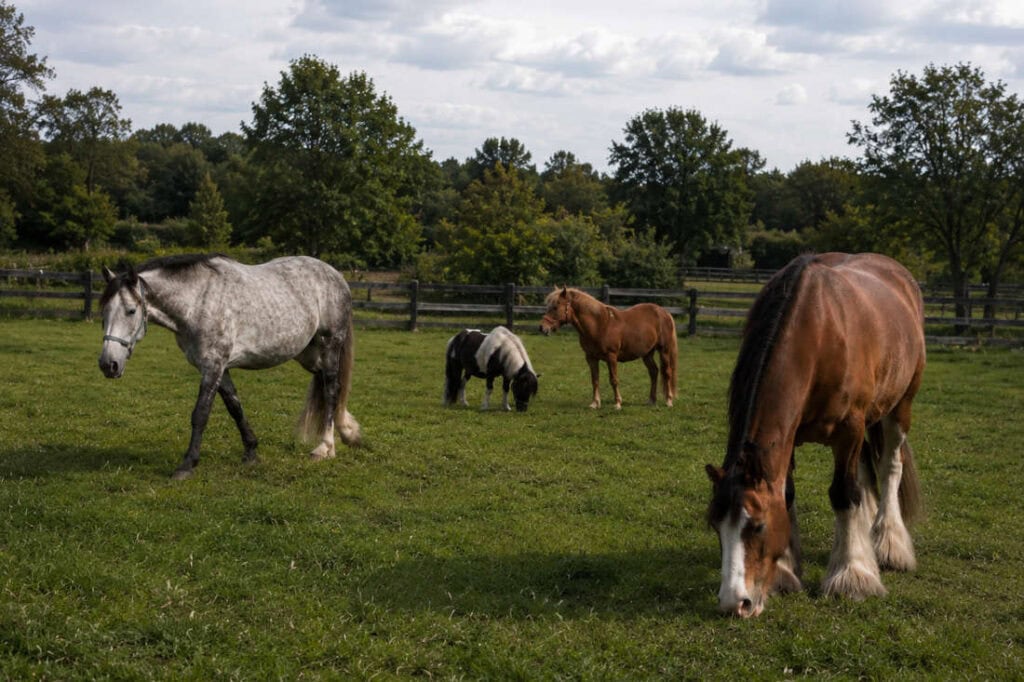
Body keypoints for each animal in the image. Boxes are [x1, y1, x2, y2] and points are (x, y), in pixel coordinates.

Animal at [98, 253, 361, 480]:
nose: (108, 365)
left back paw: (325, 447)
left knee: (331, 390)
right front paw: (251, 451)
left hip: (329, 346)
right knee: (327, 387)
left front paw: (187, 465)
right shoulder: (219, 367)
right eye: (104, 312)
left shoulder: (213, 365)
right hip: (308, 355)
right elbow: (235, 407)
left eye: (131, 311)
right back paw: (348, 433)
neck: (198, 301)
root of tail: (336, 276)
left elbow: (200, 414)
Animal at [539, 286, 677, 409]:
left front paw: (617, 403)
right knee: (654, 372)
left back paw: (669, 401)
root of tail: (664, 312)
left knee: (667, 372)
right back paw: (652, 400)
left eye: (555, 307)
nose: (542, 328)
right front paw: (595, 403)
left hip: (664, 350)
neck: (600, 325)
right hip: (647, 354)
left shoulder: (611, 357)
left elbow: (613, 380)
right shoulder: (591, 358)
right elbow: (595, 380)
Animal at [704, 252, 925, 618]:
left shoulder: (850, 429)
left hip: (900, 406)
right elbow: (788, 494)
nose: (734, 603)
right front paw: (784, 572)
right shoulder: (791, 436)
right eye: (715, 525)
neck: (819, 333)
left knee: (889, 467)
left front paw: (851, 576)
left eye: (758, 526)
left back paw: (889, 543)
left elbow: (843, 495)